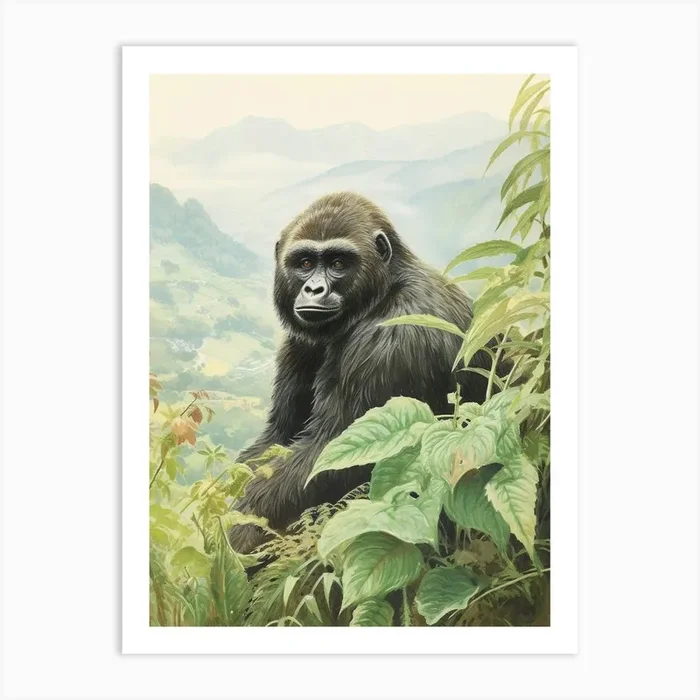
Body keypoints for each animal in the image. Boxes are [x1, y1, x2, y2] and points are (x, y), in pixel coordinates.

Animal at [228, 192, 494, 554]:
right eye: (305, 263)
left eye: (339, 264)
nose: (314, 290)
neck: (383, 288)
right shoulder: (299, 341)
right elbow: (275, 439)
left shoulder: (395, 335)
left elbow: (330, 458)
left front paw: (240, 530)